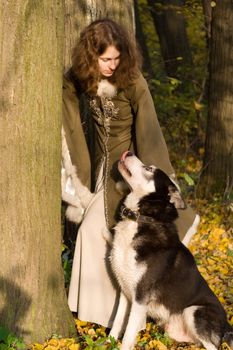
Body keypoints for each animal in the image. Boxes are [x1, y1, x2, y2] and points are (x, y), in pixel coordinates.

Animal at [108, 151, 233, 350]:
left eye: (149, 169)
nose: (129, 152)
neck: (141, 218)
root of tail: (228, 324)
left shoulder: (140, 297)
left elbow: (128, 335)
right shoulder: (124, 290)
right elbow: (118, 322)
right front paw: (106, 343)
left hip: (194, 311)